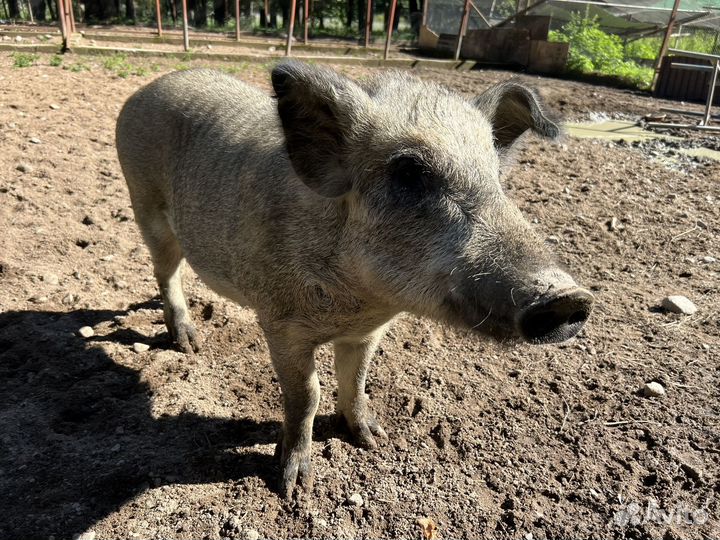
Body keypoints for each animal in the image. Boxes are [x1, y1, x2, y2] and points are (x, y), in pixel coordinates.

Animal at [115, 62, 594, 498]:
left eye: (496, 176)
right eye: (409, 172)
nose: (569, 297)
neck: (356, 306)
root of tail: (149, 87)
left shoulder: (368, 332)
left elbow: (358, 379)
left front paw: (373, 438)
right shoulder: (279, 324)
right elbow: (306, 395)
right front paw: (294, 487)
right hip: (145, 205)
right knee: (165, 272)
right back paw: (189, 343)